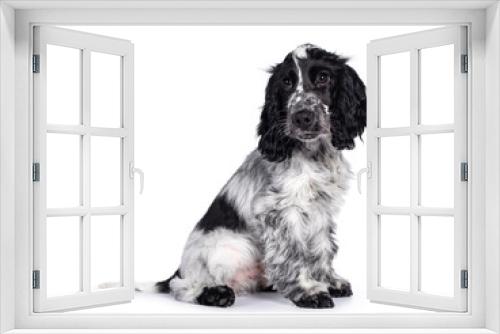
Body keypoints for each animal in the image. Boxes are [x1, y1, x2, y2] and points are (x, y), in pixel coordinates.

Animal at [154, 43, 366, 308]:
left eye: (323, 77)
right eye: (286, 82)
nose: (302, 117)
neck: (315, 154)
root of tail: (179, 268)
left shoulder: (321, 210)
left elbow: (322, 249)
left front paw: (329, 282)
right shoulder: (281, 211)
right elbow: (295, 253)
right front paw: (309, 292)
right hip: (227, 248)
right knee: (181, 286)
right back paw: (215, 293)